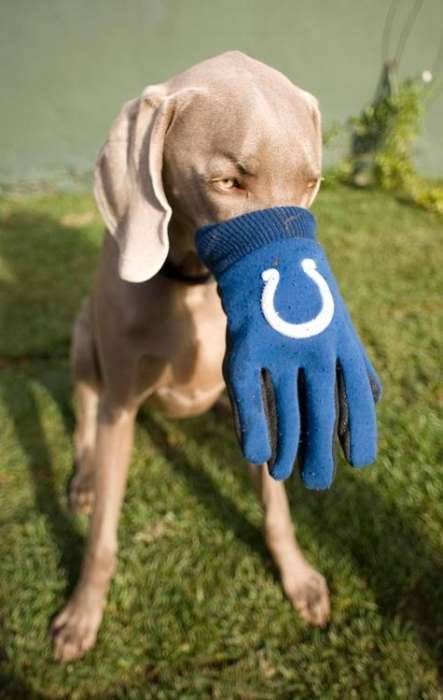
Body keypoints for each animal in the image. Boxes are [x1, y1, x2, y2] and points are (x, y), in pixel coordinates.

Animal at [52, 50, 330, 660]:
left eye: (311, 183)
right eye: (228, 181)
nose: (301, 312)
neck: (194, 286)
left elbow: (277, 509)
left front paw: (299, 579)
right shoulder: (120, 405)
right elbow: (102, 536)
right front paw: (81, 615)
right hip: (82, 343)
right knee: (83, 423)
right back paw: (83, 483)